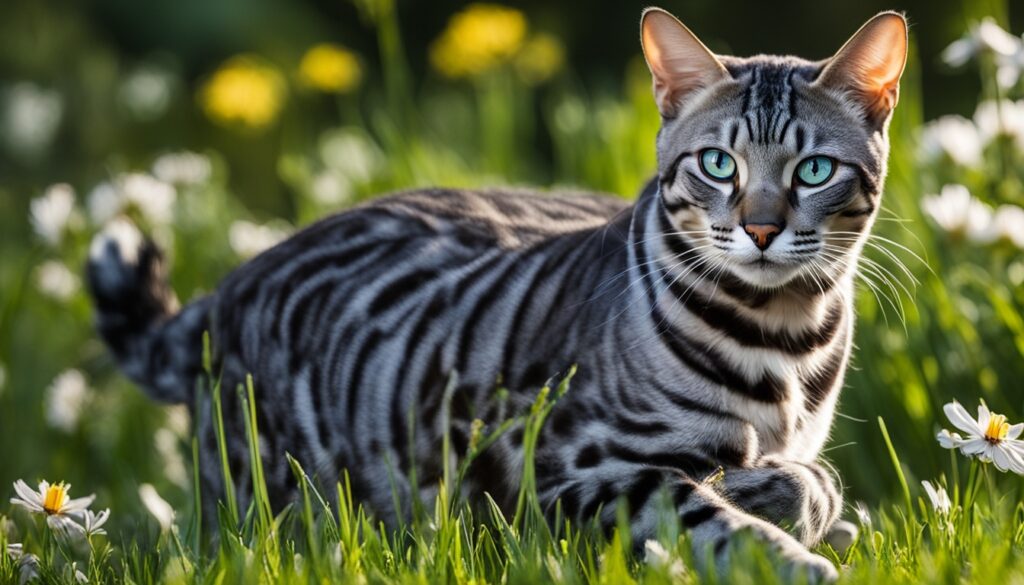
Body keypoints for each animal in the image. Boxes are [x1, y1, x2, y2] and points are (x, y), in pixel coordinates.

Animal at [86, 8, 905, 581]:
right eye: (717, 164)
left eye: (813, 171)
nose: (761, 229)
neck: (782, 342)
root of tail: (230, 283)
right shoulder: (556, 463)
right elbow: (697, 506)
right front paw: (785, 553)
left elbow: (817, 481)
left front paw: (782, 498)